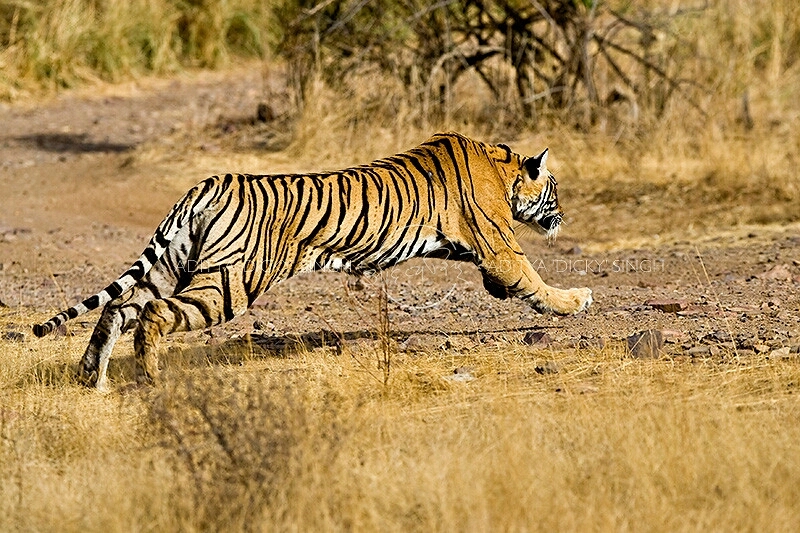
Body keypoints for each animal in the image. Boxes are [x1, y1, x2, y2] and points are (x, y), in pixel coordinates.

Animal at [31, 131, 592, 388]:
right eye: (556, 190)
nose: (564, 215)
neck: (503, 169)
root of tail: (210, 181)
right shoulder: (500, 246)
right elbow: (535, 281)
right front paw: (577, 300)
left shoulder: (476, 251)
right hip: (229, 282)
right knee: (151, 314)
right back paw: (151, 378)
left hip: (174, 266)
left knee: (117, 308)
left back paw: (92, 378)